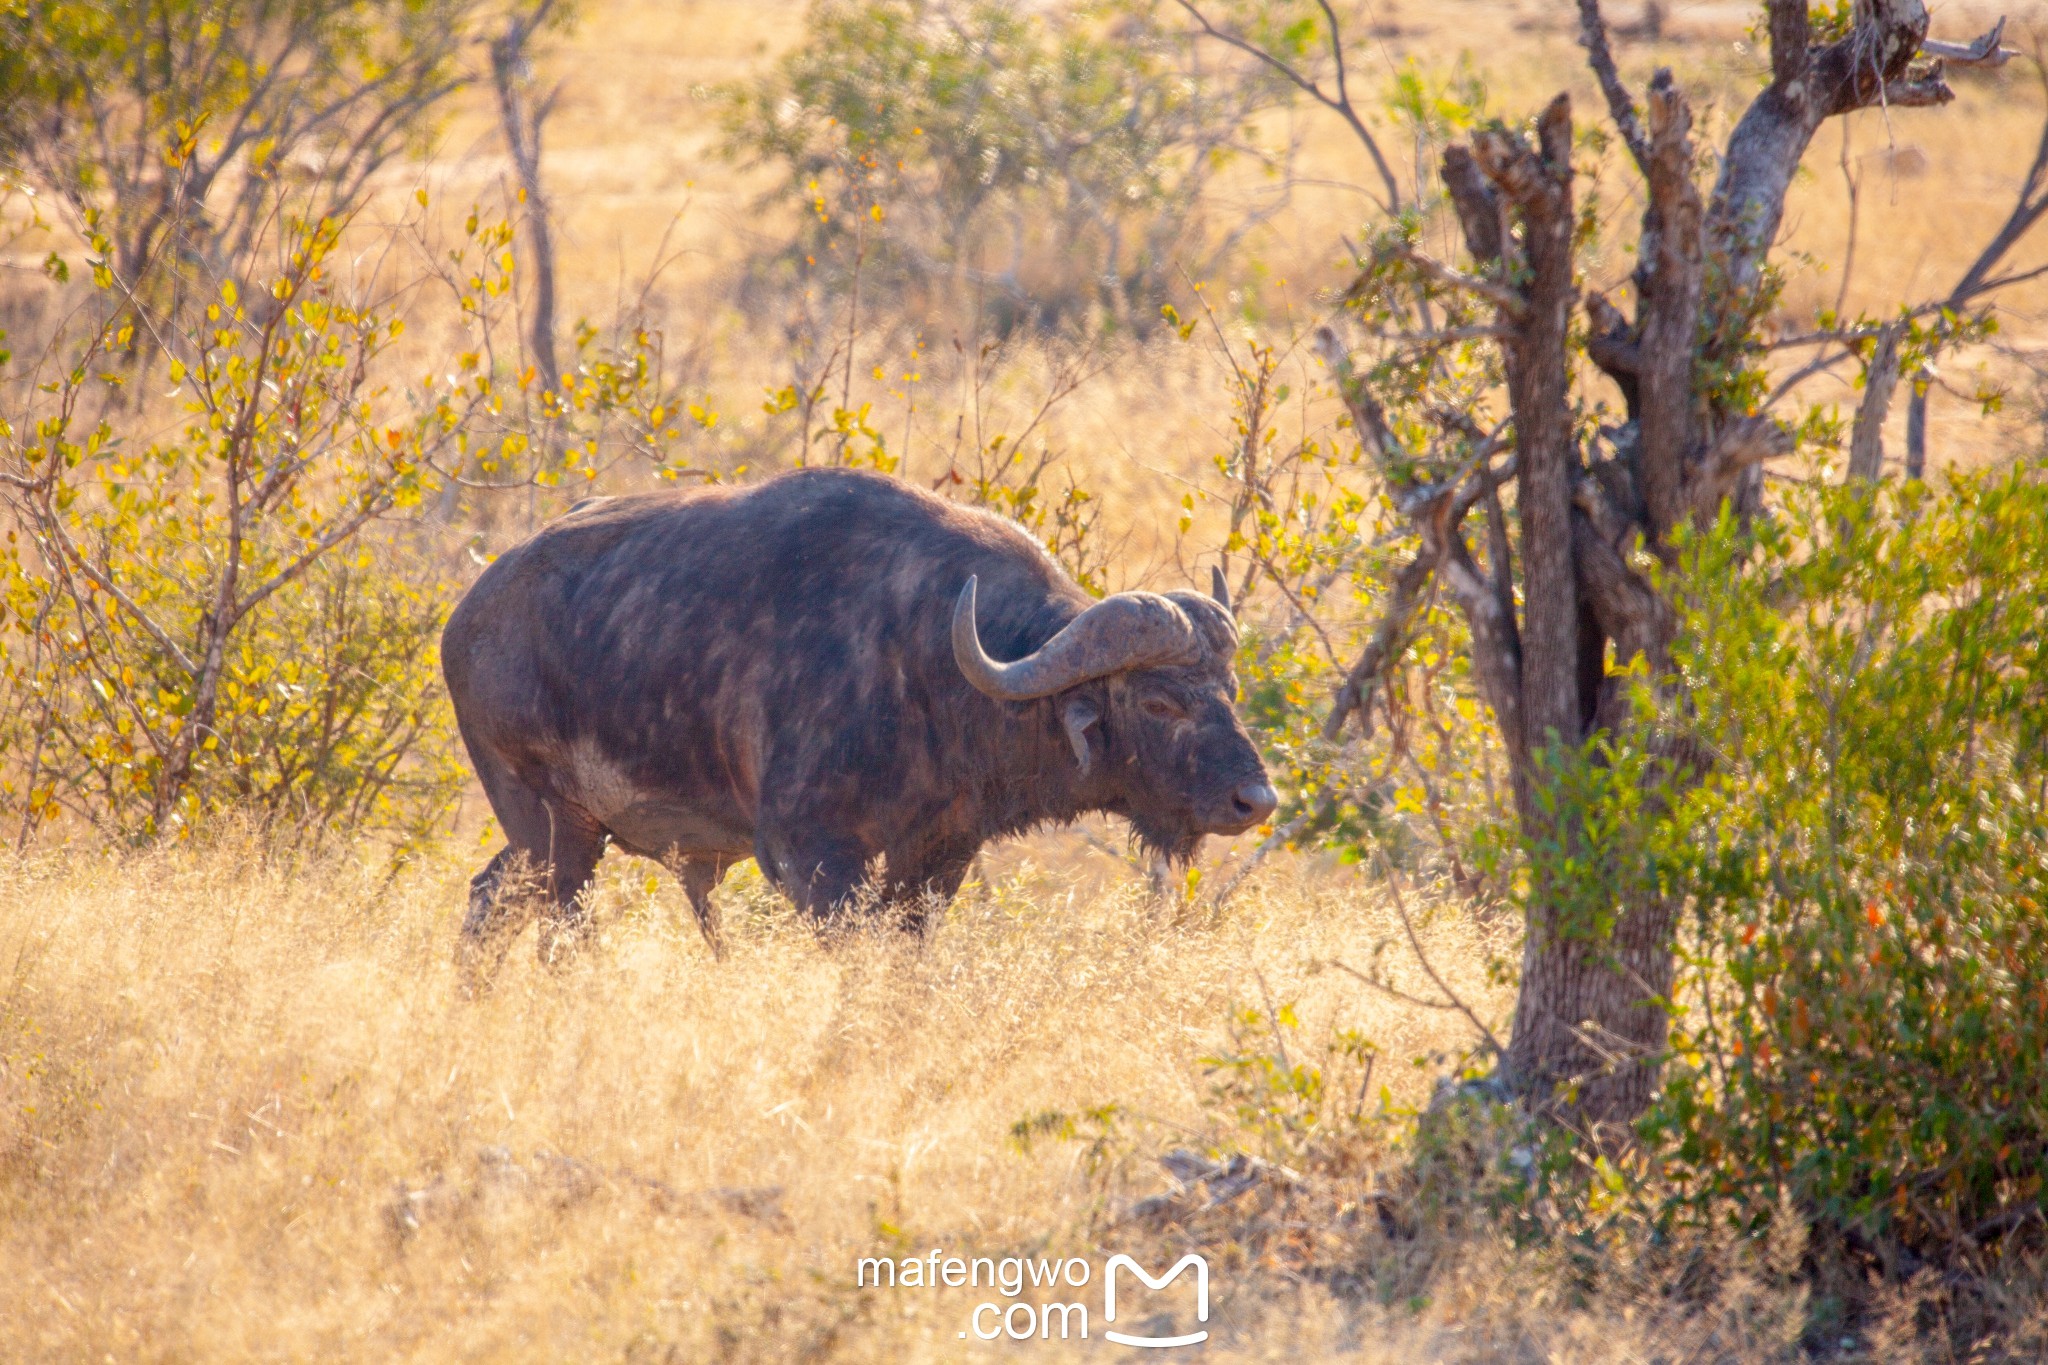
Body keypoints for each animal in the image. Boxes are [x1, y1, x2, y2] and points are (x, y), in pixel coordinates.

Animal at [446, 470, 1269, 970]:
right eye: (1160, 702)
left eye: (1229, 687)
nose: (1256, 800)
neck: (931, 668)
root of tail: (467, 618)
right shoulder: (809, 859)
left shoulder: (936, 860)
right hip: (553, 831)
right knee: (559, 934)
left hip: (550, 839)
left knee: (489, 899)